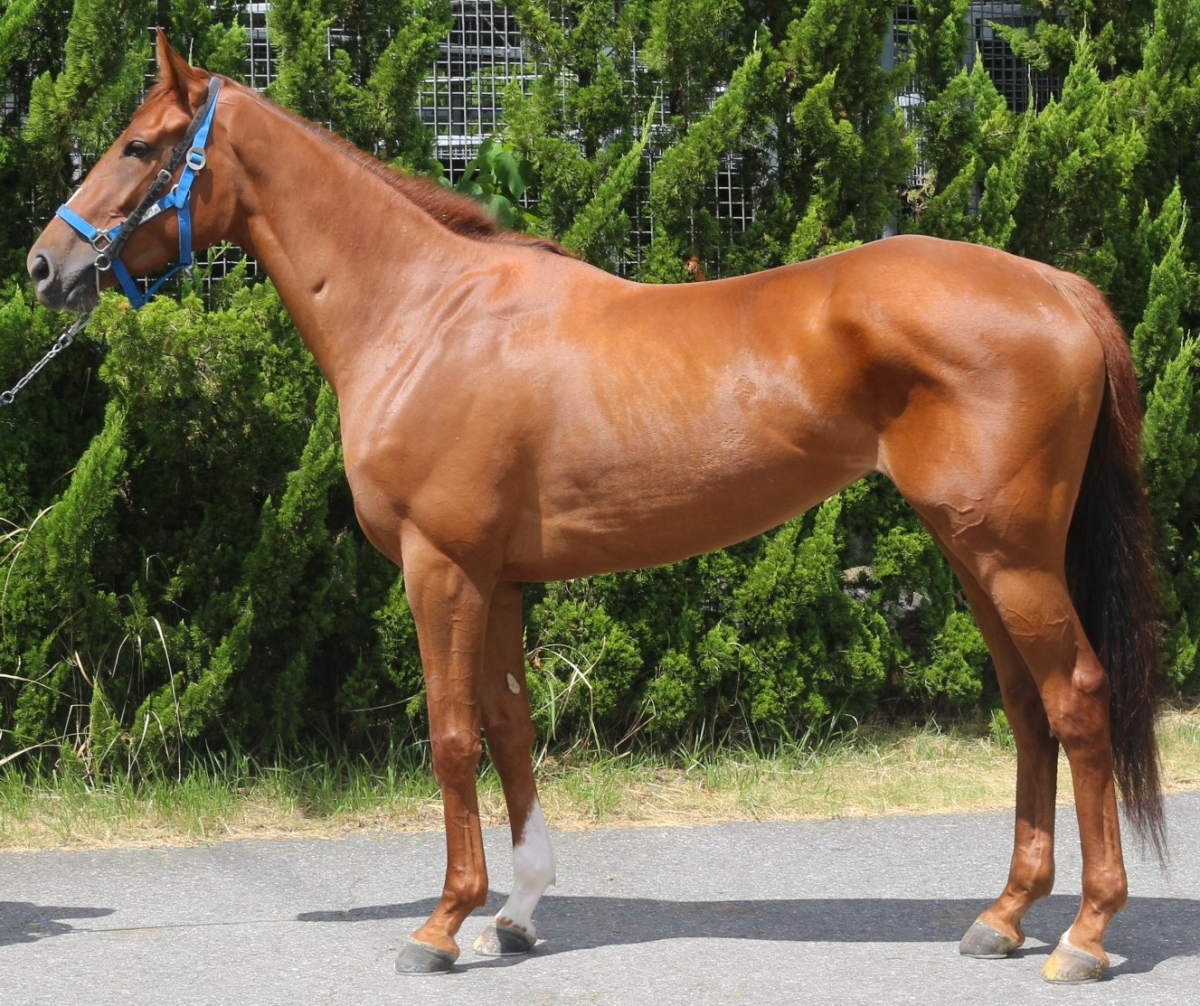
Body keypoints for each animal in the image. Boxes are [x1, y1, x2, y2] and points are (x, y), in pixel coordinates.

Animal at [27, 33, 1164, 984]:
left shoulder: (441, 567)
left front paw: (441, 925)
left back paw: (1085, 934)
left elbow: (451, 735)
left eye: (141, 146)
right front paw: (517, 913)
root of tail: (1059, 287)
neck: (424, 316)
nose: (46, 264)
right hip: (976, 553)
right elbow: (511, 727)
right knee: (1026, 708)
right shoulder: (497, 578)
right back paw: (1004, 917)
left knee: (1077, 700)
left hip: (1011, 555)